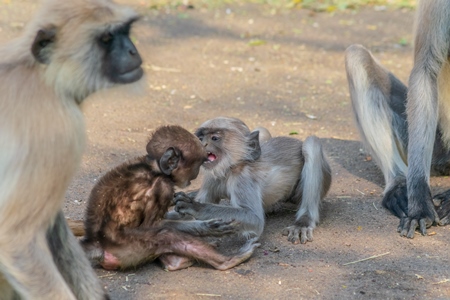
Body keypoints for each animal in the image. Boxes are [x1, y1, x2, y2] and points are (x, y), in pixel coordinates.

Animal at [0, 0, 143, 298]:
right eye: (106, 39)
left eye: (126, 32)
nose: (133, 50)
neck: (39, 75)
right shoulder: (57, 129)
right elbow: (14, 238)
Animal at [79, 125, 258, 270]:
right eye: (197, 165)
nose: (195, 175)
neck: (154, 168)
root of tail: (97, 244)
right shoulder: (162, 186)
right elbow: (152, 226)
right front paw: (206, 227)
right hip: (129, 250)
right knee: (165, 234)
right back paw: (227, 260)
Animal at [174, 116, 332, 245]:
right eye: (201, 138)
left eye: (214, 138)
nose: (201, 145)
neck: (230, 168)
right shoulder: (212, 177)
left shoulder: (243, 178)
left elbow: (254, 219)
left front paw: (195, 207)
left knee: (311, 144)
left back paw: (303, 222)